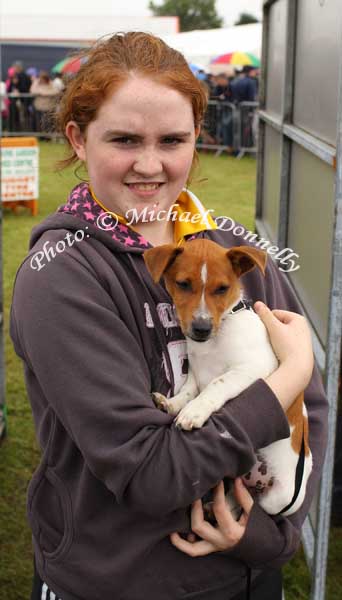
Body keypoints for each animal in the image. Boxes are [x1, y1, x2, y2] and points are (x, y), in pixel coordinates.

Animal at [144, 239, 312, 516]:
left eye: (222, 289)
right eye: (183, 284)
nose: (201, 328)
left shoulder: (255, 367)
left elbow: (216, 384)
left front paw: (194, 412)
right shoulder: (195, 371)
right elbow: (188, 391)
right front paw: (171, 404)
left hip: (282, 498)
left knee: (254, 504)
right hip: (241, 479)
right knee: (239, 494)